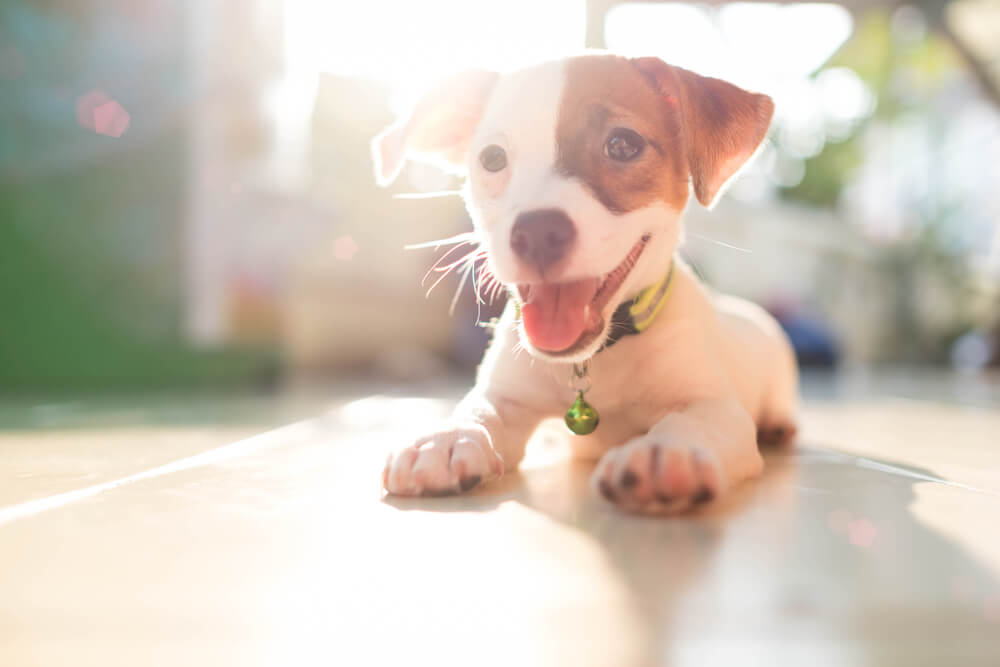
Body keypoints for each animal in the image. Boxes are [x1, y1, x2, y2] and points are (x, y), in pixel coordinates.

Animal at [372, 54, 800, 516]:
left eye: (623, 145)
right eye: (491, 157)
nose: (537, 232)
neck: (596, 358)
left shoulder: (714, 406)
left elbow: (692, 422)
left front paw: (668, 451)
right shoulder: (506, 395)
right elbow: (477, 408)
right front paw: (444, 439)